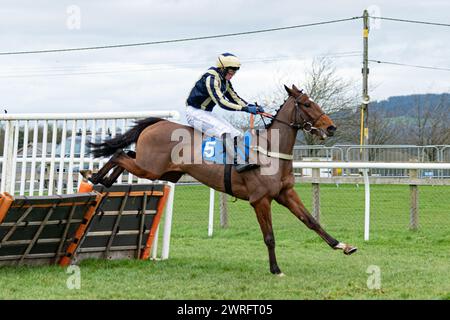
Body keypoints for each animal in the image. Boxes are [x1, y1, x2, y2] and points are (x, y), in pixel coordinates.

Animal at [88, 85, 356, 276]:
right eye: (307, 104)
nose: (331, 128)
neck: (270, 151)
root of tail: (158, 123)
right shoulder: (260, 200)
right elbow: (269, 237)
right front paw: (275, 269)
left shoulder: (285, 193)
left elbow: (312, 221)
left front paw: (342, 245)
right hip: (150, 168)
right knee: (119, 155)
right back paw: (93, 177)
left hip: (161, 171)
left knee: (125, 154)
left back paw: (103, 182)